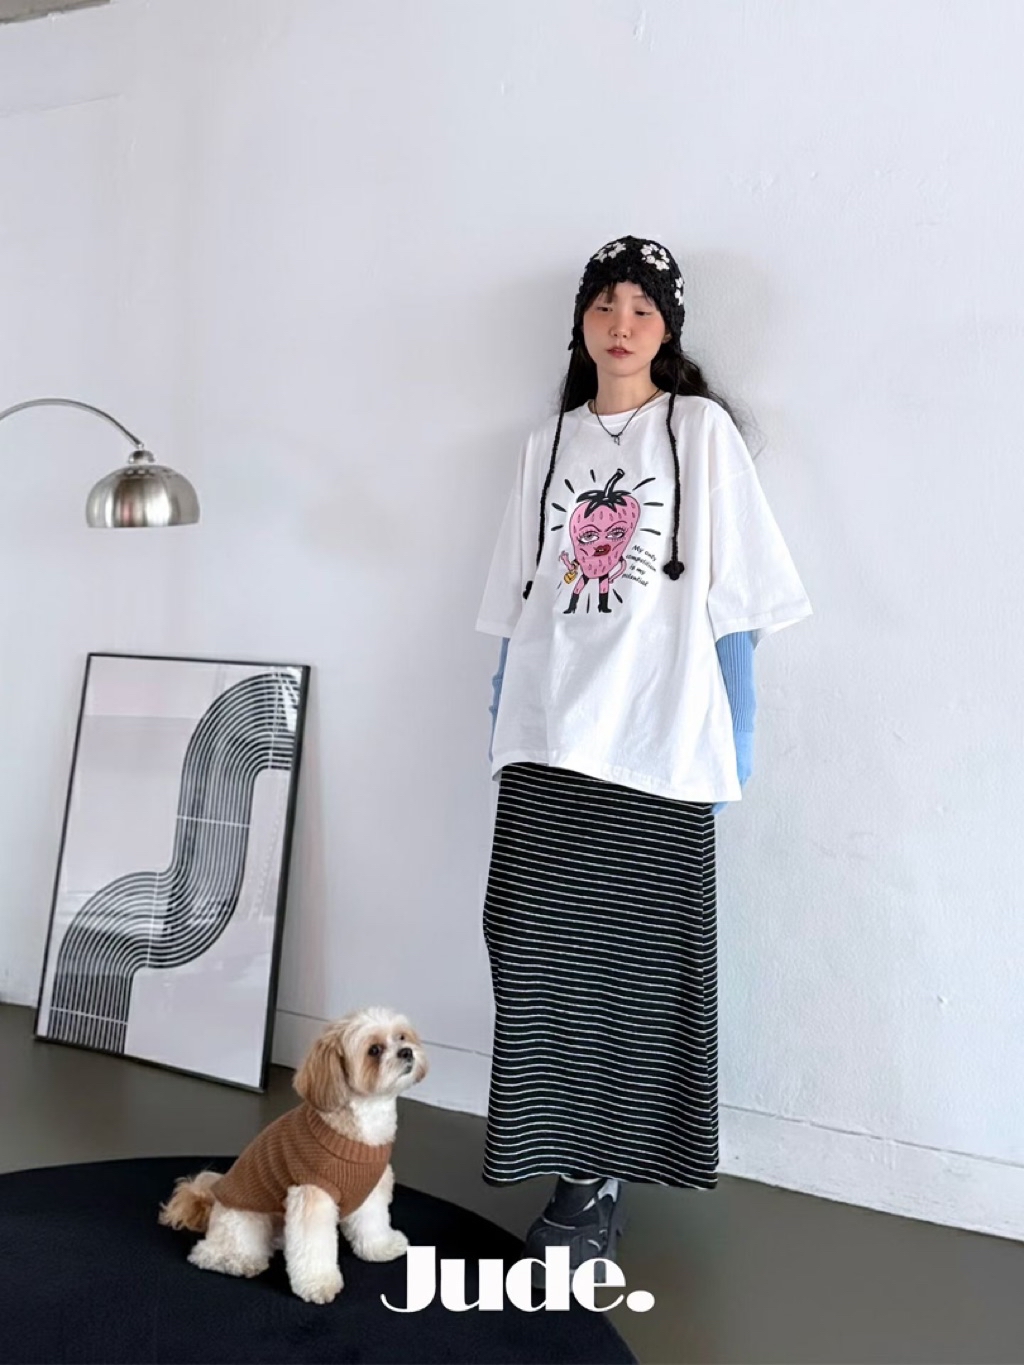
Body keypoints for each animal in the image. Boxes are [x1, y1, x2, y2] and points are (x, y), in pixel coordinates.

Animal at [158, 1006, 428, 1304]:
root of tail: (210, 1200)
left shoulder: (371, 1188)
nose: (407, 1051)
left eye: (402, 1036)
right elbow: (314, 1247)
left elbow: (373, 1222)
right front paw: (318, 1284)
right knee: (207, 1254)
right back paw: (239, 1261)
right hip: (244, 1220)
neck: (359, 1128)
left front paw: (381, 1247)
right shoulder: (313, 1197)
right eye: (374, 1050)